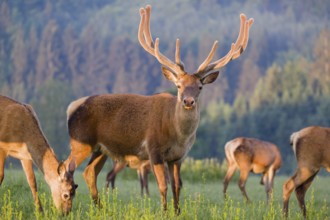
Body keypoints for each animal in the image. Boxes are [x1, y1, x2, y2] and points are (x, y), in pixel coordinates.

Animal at [64, 4, 253, 212]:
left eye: (200, 87)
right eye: (178, 85)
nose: (188, 101)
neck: (178, 135)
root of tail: (71, 107)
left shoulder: (178, 157)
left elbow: (177, 186)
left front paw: (177, 212)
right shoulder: (153, 150)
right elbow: (163, 185)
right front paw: (164, 211)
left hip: (100, 149)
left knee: (89, 172)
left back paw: (100, 208)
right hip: (80, 142)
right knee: (65, 168)